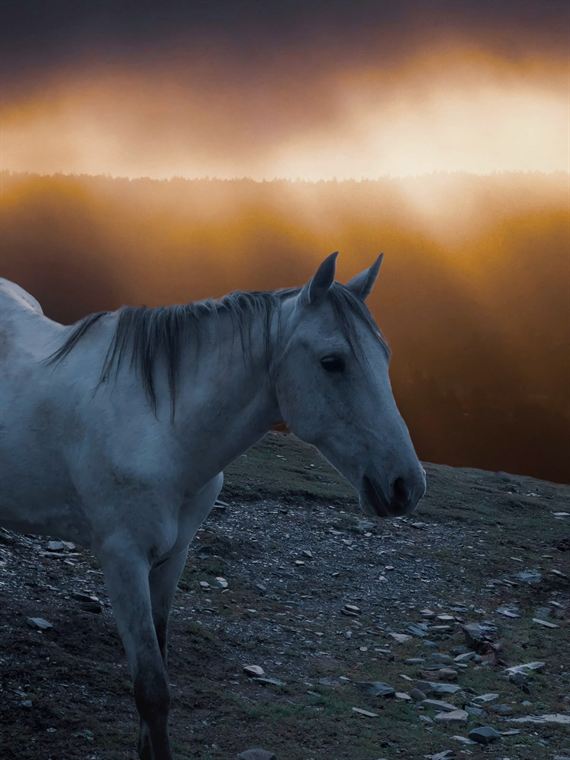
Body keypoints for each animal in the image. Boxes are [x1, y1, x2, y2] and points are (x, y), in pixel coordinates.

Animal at [0, 252, 426, 759]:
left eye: (385, 355)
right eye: (332, 362)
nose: (406, 485)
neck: (162, 431)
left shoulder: (172, 558)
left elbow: (158, 674)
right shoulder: (123, 561)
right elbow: (151, 689)